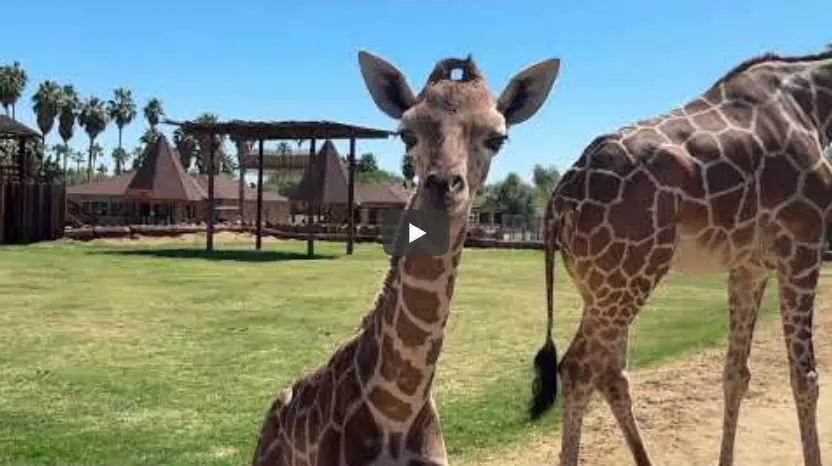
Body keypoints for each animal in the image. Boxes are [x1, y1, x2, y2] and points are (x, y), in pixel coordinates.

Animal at [529, 47, 832, 466]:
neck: (814, 106)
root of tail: (559, 200)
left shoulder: (750, 267)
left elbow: (736, 374)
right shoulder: (803, 247)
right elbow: (806, 379)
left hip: (601, 284)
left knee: (611, 372)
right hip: (629, 275)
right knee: (578, 370)